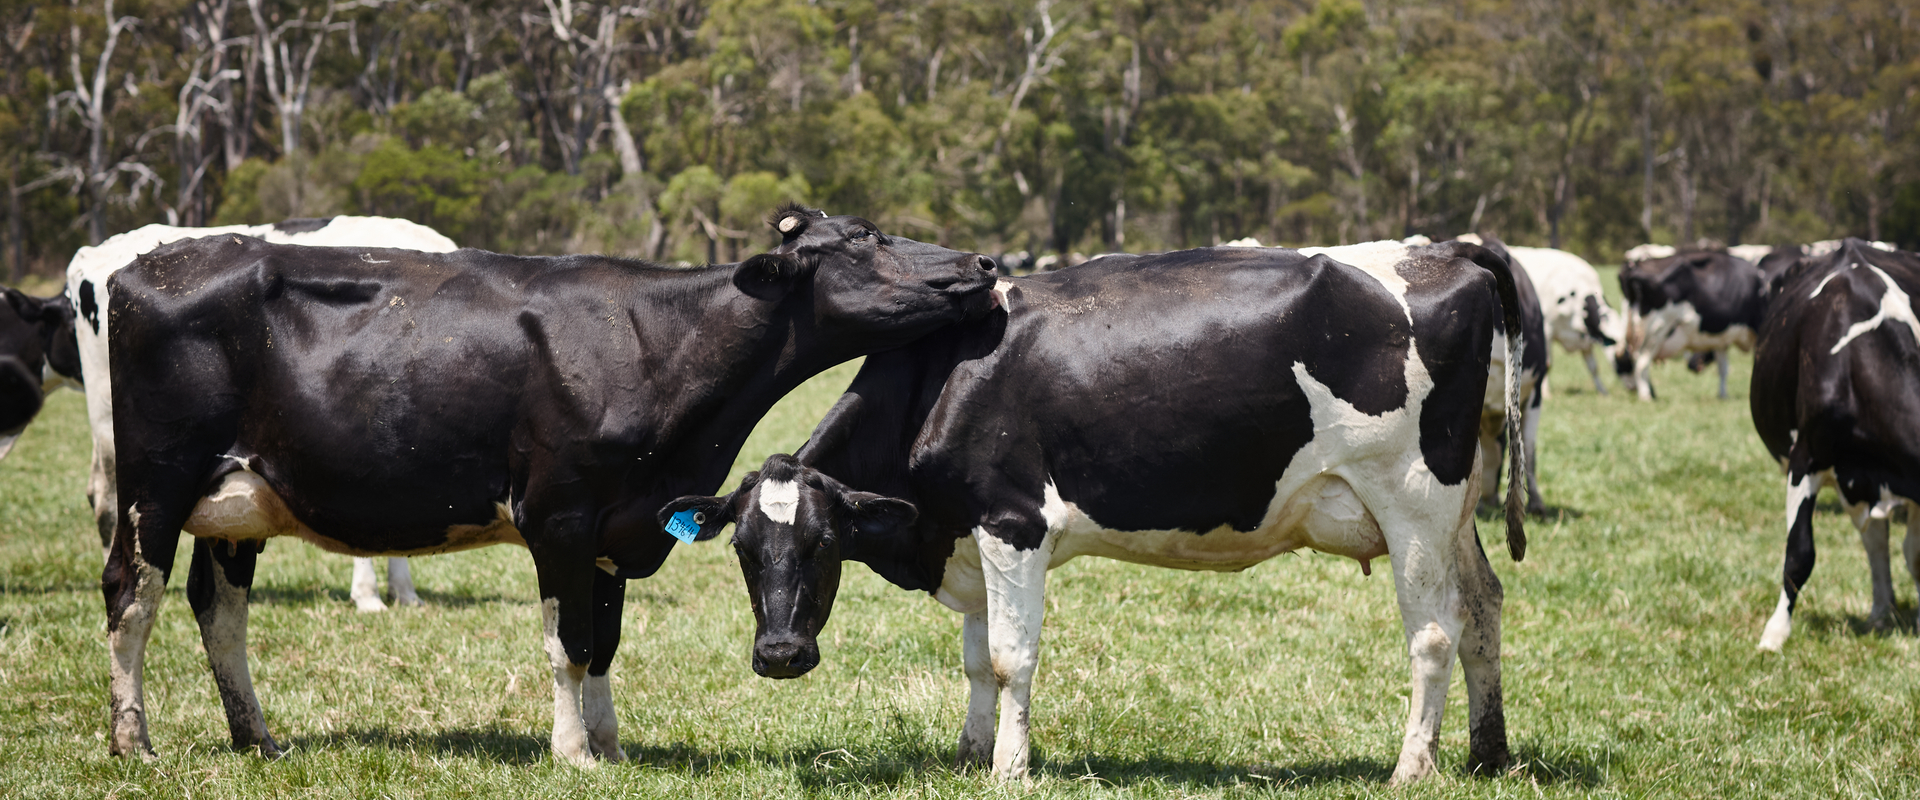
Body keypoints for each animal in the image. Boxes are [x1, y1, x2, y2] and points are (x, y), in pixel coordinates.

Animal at [663, 240, 1529, 785]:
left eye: (821, 543)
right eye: (743, 550)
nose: (780, 653)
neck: (944, 378)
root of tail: (1447, 252)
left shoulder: (1013, 523)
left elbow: (1010, 657)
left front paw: (1010, 769)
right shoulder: (970, 536)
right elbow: (975, 660)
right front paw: (971, 753)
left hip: (1412, 500)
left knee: (1434, 634)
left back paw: (1411, 767)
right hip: (1455, 513)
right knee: (1484, 609)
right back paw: (1488, 754)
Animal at [1615, 251, 1767, 401]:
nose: (1692, 366)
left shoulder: (1721, 339)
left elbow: (1723, 368)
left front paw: (1723, 395)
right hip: (1655, 331)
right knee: (1641, 364)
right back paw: (1646, 396)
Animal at [1750, 239, 1920, 651]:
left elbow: (1916, 556)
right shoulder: (1804, 461)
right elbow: (1799, 554)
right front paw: (1775, 633)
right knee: (1873, 538)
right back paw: (1880, 610)